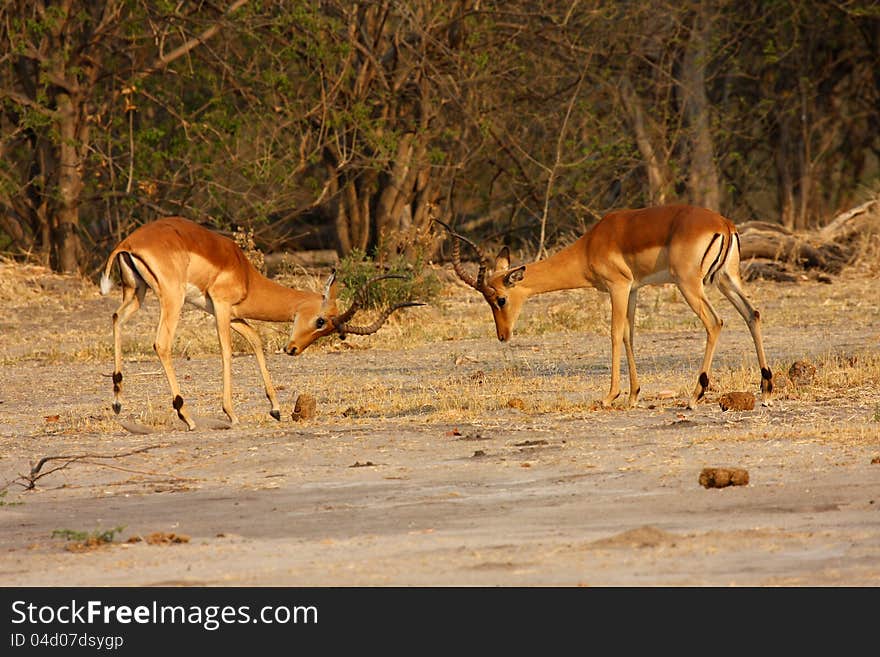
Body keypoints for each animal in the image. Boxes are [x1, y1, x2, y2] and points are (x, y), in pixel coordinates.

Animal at [99, 217, 422, 430]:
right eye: (320, 321)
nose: (293, 349)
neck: (245, 273)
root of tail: (128, 243)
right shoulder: (221, 308)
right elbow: (227, 352)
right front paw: (231, 413)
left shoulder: (231, 313)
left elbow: (255, 340)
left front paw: (276, 409)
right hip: (171, 299)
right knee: (161, 344)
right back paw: (186, 415)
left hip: (137, 292)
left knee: (116, 318)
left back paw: (117, 402)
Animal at [436, 205, 772, 410]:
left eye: (500, 299)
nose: (503, 335)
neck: (590, 245)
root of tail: (724, 224)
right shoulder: (633, 289)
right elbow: (629, 335)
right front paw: (634, 396)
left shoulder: (618, 287)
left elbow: (613, 334)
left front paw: (610, 396)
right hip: (726, 279)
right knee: (752, 314)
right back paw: (766, 388)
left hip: (690, 284)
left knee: (715, 322)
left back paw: (695, 395)